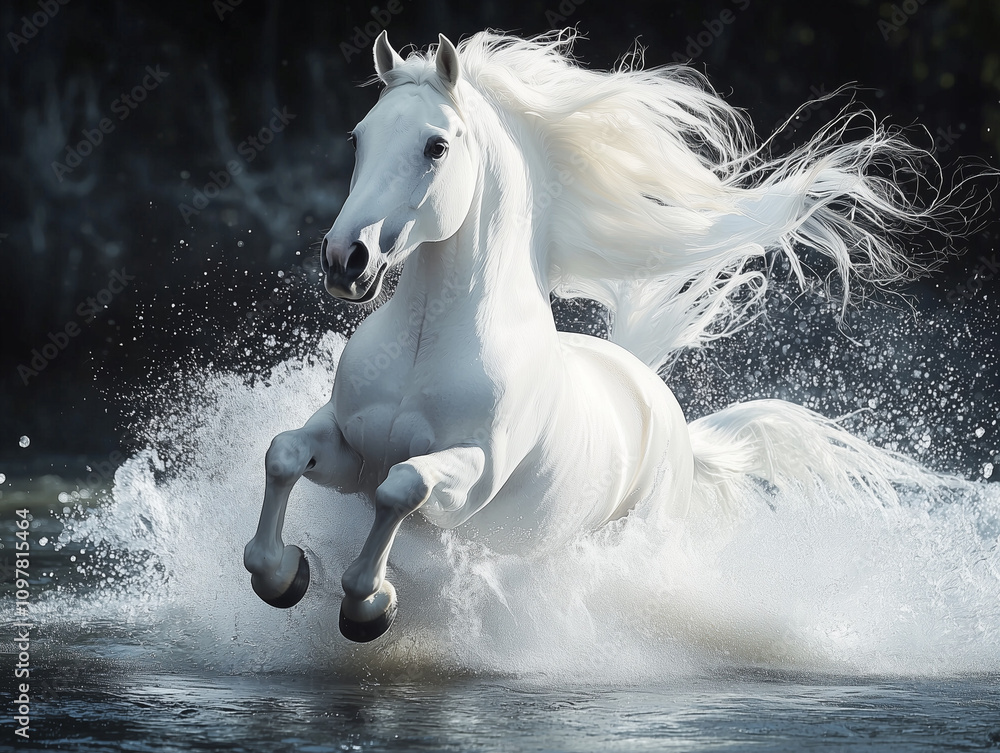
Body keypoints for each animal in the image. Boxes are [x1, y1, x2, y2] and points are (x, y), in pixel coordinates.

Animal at [243, 30, 951, 642]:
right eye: (358, 137)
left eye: (435, 146)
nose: (346, 260)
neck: (421, 346)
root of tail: (659, 400)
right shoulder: (348, 448)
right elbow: (284, 454)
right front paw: (283, 574)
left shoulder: (469, 482)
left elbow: (402, 488)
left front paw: (369, 605)